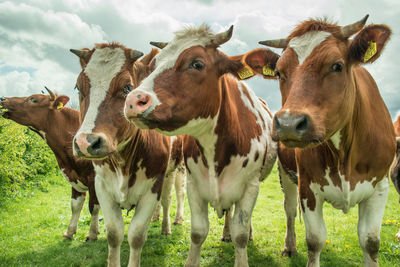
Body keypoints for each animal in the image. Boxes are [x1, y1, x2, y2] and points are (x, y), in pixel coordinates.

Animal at [0, 89, 100, 243]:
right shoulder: (73, 176)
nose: (3, 99)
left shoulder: (94, 178)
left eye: (33, 99)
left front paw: (92, 234)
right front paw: (69, 232)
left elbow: (93, 206)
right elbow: (75, 205)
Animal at [70, 44, 186, 267]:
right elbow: (114, 233)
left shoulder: (153, 186)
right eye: (78, 88)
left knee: (169, 199)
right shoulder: (102, 186)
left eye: (127, 88)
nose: (85, 142)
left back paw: (167, 226)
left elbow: (137, 235)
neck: (123, 161)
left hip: (175, 170)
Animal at [123, 25, 276, 267]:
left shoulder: (250, 186)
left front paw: (243, 240)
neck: (216, 152)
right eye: (154, 65)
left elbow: (241, 233)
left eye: (196, 64)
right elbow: (197, 232)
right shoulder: (194, 183)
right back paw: (225, 233)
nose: (133, 101)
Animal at [244, 14, 394, 267]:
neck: (344, 155)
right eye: (279, 73)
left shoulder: (380, 187)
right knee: (290, 211)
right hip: (286, 175)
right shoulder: (308, 188)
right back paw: (290, 246)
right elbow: (315, 240)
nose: (289, 123)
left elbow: (371, 242)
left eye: (337, 66)